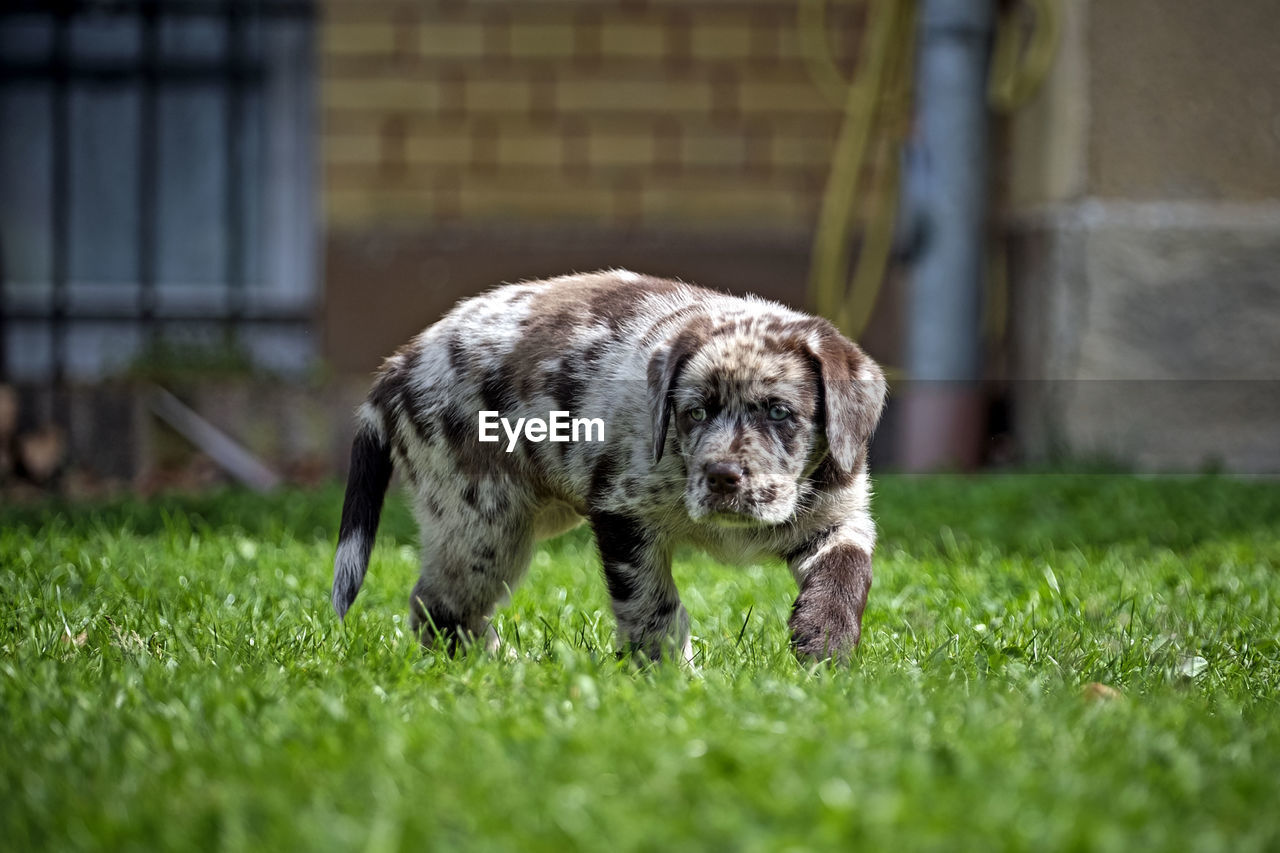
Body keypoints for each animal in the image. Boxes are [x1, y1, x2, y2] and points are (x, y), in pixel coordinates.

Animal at [335, 268, 885, 660]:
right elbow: (653, 607)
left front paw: (824, 643)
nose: (721, 478)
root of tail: (398, 367)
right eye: (695, 412)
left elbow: (846, 573)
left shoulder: (839, 517)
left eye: (779, 412)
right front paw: (670, 676)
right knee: (439, 606)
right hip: (483, 524)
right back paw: (491, 668)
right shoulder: (623, 513)